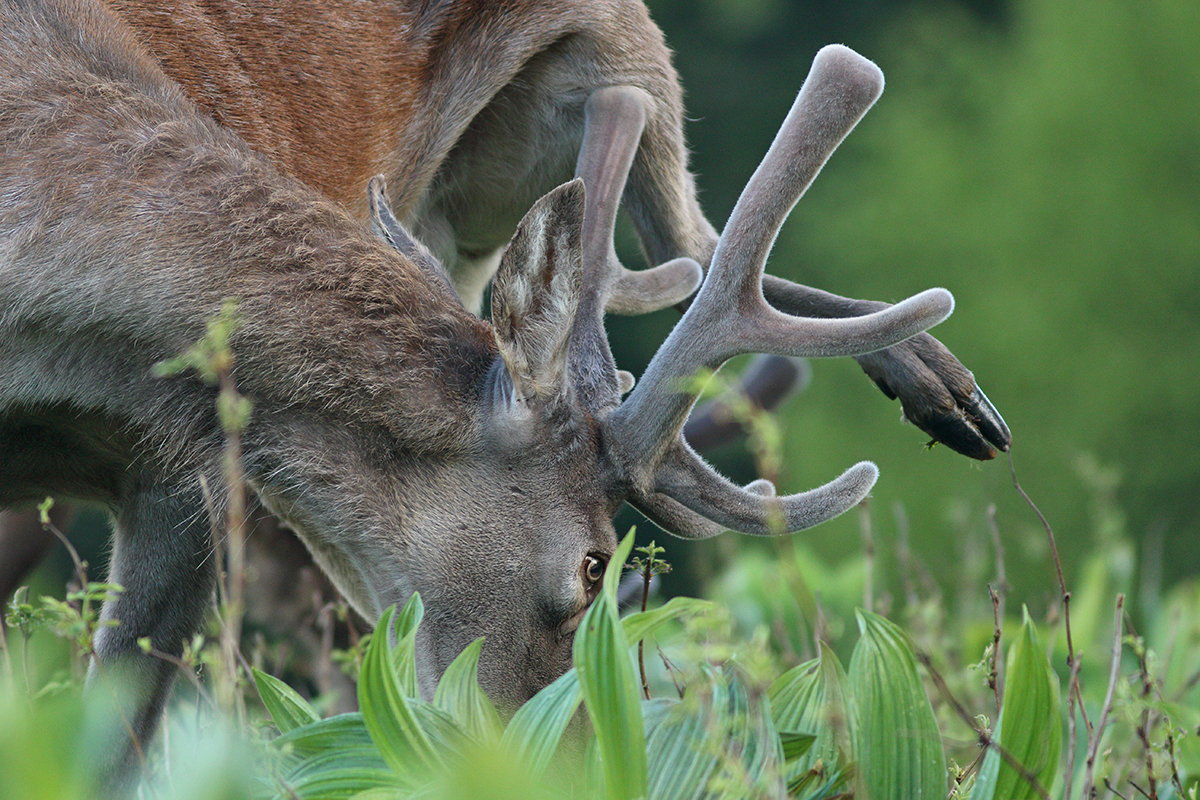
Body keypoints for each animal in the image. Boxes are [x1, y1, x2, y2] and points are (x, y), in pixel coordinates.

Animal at [2, 0, 984, 786]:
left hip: (622, 66)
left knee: (693, 233)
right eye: (593, 567)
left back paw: (948, 391)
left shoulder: (183, 476)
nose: (573, 766)